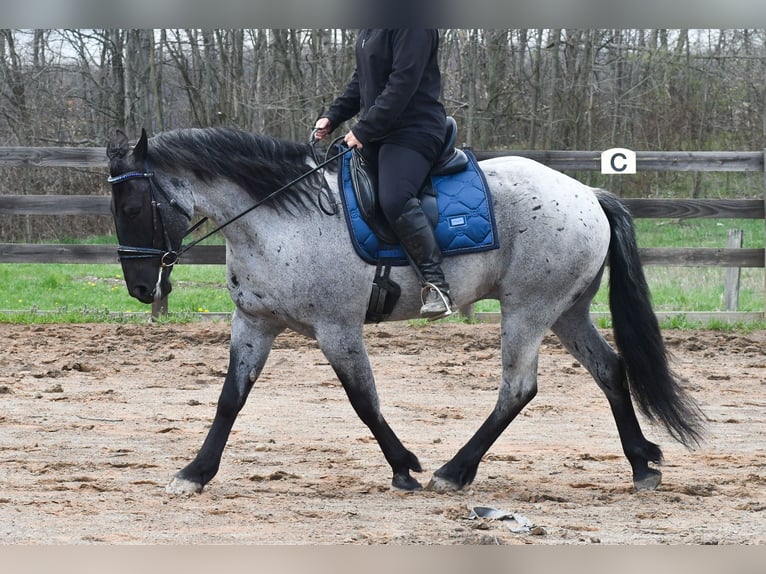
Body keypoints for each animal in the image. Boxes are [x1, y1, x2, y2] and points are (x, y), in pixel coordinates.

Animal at [106, 126, 704, 495]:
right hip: (566, 312)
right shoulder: (255, 323)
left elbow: (363, 401)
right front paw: (196, 472)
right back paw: (640, 462)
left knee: (518, 389)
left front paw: (404, 468)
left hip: (529, 310)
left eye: (133, 205)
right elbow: (231, 398)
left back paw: (453, 471)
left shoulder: (337, 328)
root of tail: (588, 194)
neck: (279, 218)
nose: (140, 287)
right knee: (610, 370)